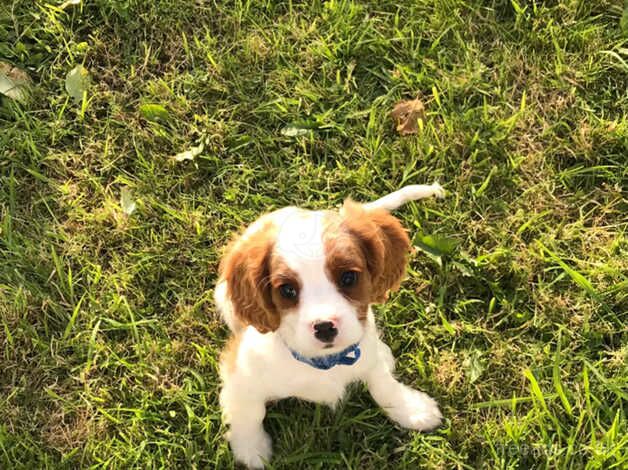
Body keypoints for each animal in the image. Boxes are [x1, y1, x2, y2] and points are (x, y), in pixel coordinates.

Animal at [216, 184, 446, 466]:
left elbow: (383, 384)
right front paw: (250, 449)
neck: (325, 363)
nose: (325, 326)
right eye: (287, 290)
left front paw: (410, 409)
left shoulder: (367, 355)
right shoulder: (240, 373)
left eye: (348, 277)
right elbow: (249, 412)